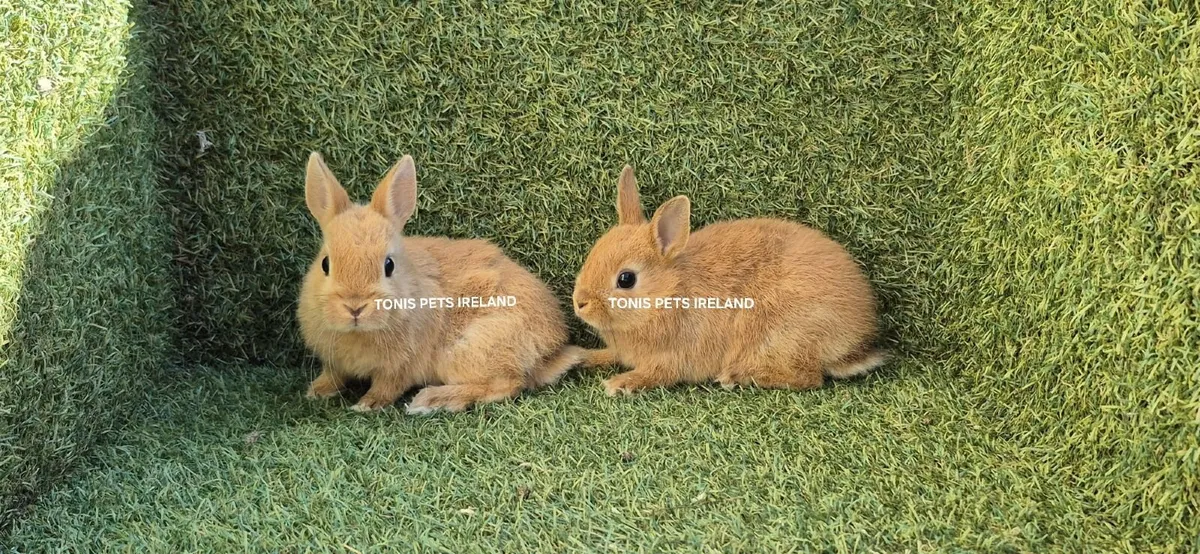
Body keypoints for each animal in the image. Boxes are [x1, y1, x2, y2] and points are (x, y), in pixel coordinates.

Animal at [297, 152, 583, 413]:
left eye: (389, 265)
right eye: (325, 263)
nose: (355, 307)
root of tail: (552, 348)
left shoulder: (401, 366)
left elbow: (386, 387)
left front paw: (367, 404)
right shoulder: (334, 362)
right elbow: (333, 375)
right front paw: (315, 392)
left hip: (466, 352)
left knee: (508, 384)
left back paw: (431, 400)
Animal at [572, 165, 886, 396]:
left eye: (626, 279)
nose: (579, 303)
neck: (668, 295)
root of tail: (858, 337)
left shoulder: (672, 357)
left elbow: (655, 375)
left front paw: (620, 383)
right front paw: (583, 357)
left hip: (783, 336)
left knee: (808, 377)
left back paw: (736, 376)